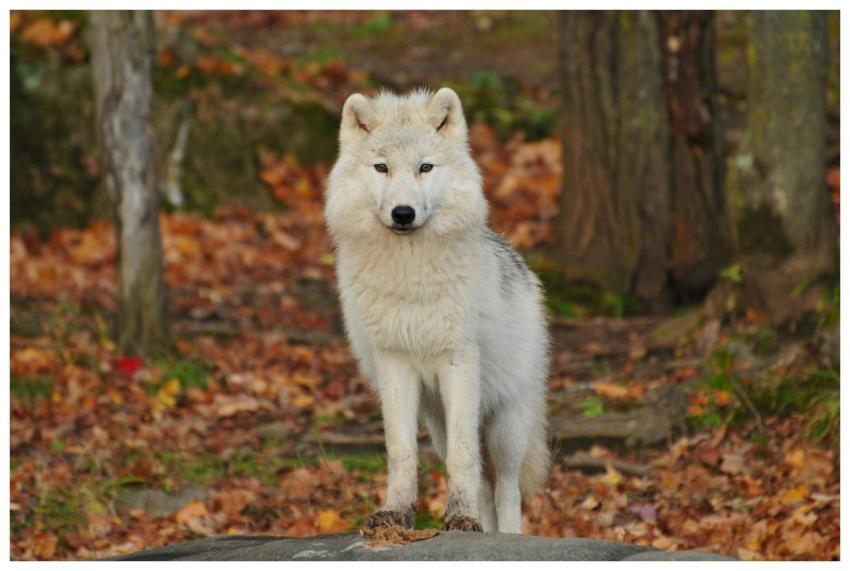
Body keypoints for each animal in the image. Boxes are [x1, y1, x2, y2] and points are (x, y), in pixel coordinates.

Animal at [324, 87, 550, 534]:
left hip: (505, 425)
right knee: (483, 484)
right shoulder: (393, 362)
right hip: (438, 422)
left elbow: (465, 458)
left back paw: (506, 535)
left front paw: (460, 517)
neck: (410, 276)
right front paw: (396, 513)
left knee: (507, 487)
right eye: (382, 168)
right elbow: (400, 450)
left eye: (425, 167)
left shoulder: (458, 360)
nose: (403, 213)